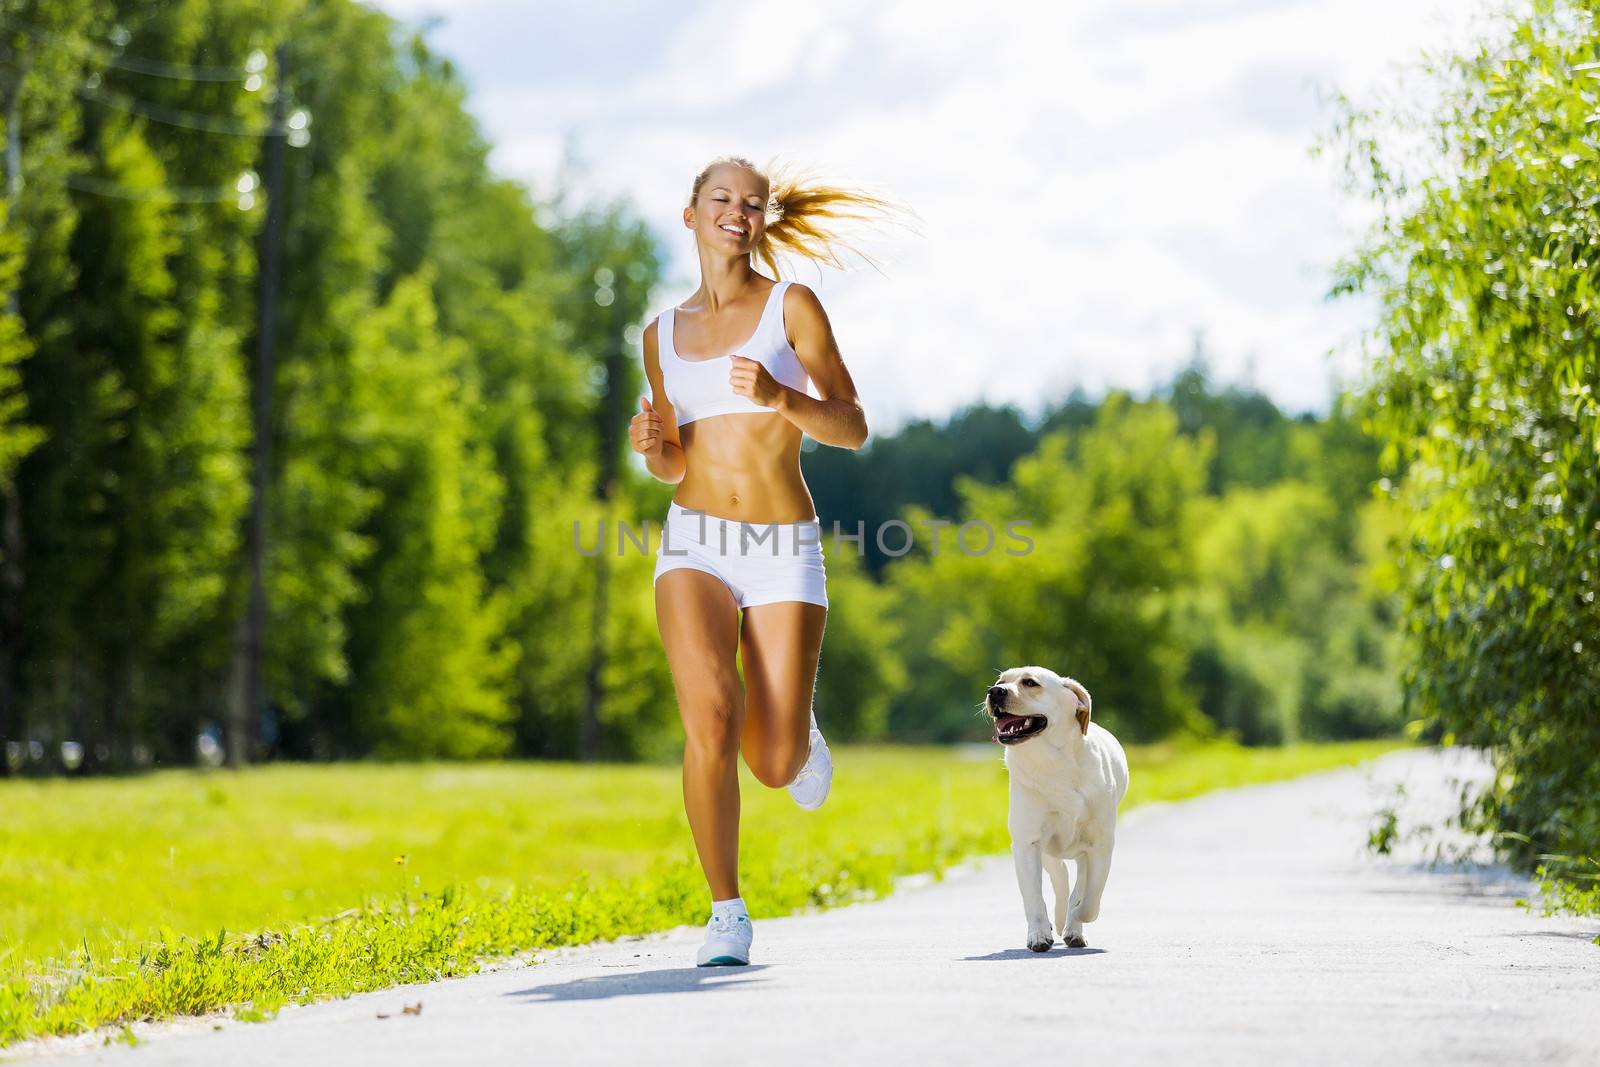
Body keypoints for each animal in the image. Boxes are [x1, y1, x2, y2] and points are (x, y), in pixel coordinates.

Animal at [985, 668, 1126, 953]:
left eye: (1030, 682)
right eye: (1000, 681)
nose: (994, 692)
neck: (1052, 761)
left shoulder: (1101, 844)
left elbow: (1091, 896)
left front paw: (1078, 916)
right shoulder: (1027, 844)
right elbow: (1034, 897)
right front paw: (1039, 935)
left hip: (1083, 852)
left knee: (1078, 882)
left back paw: (1072, 925)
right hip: (1049, 852)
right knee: (1060, 878)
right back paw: (1060, 921)